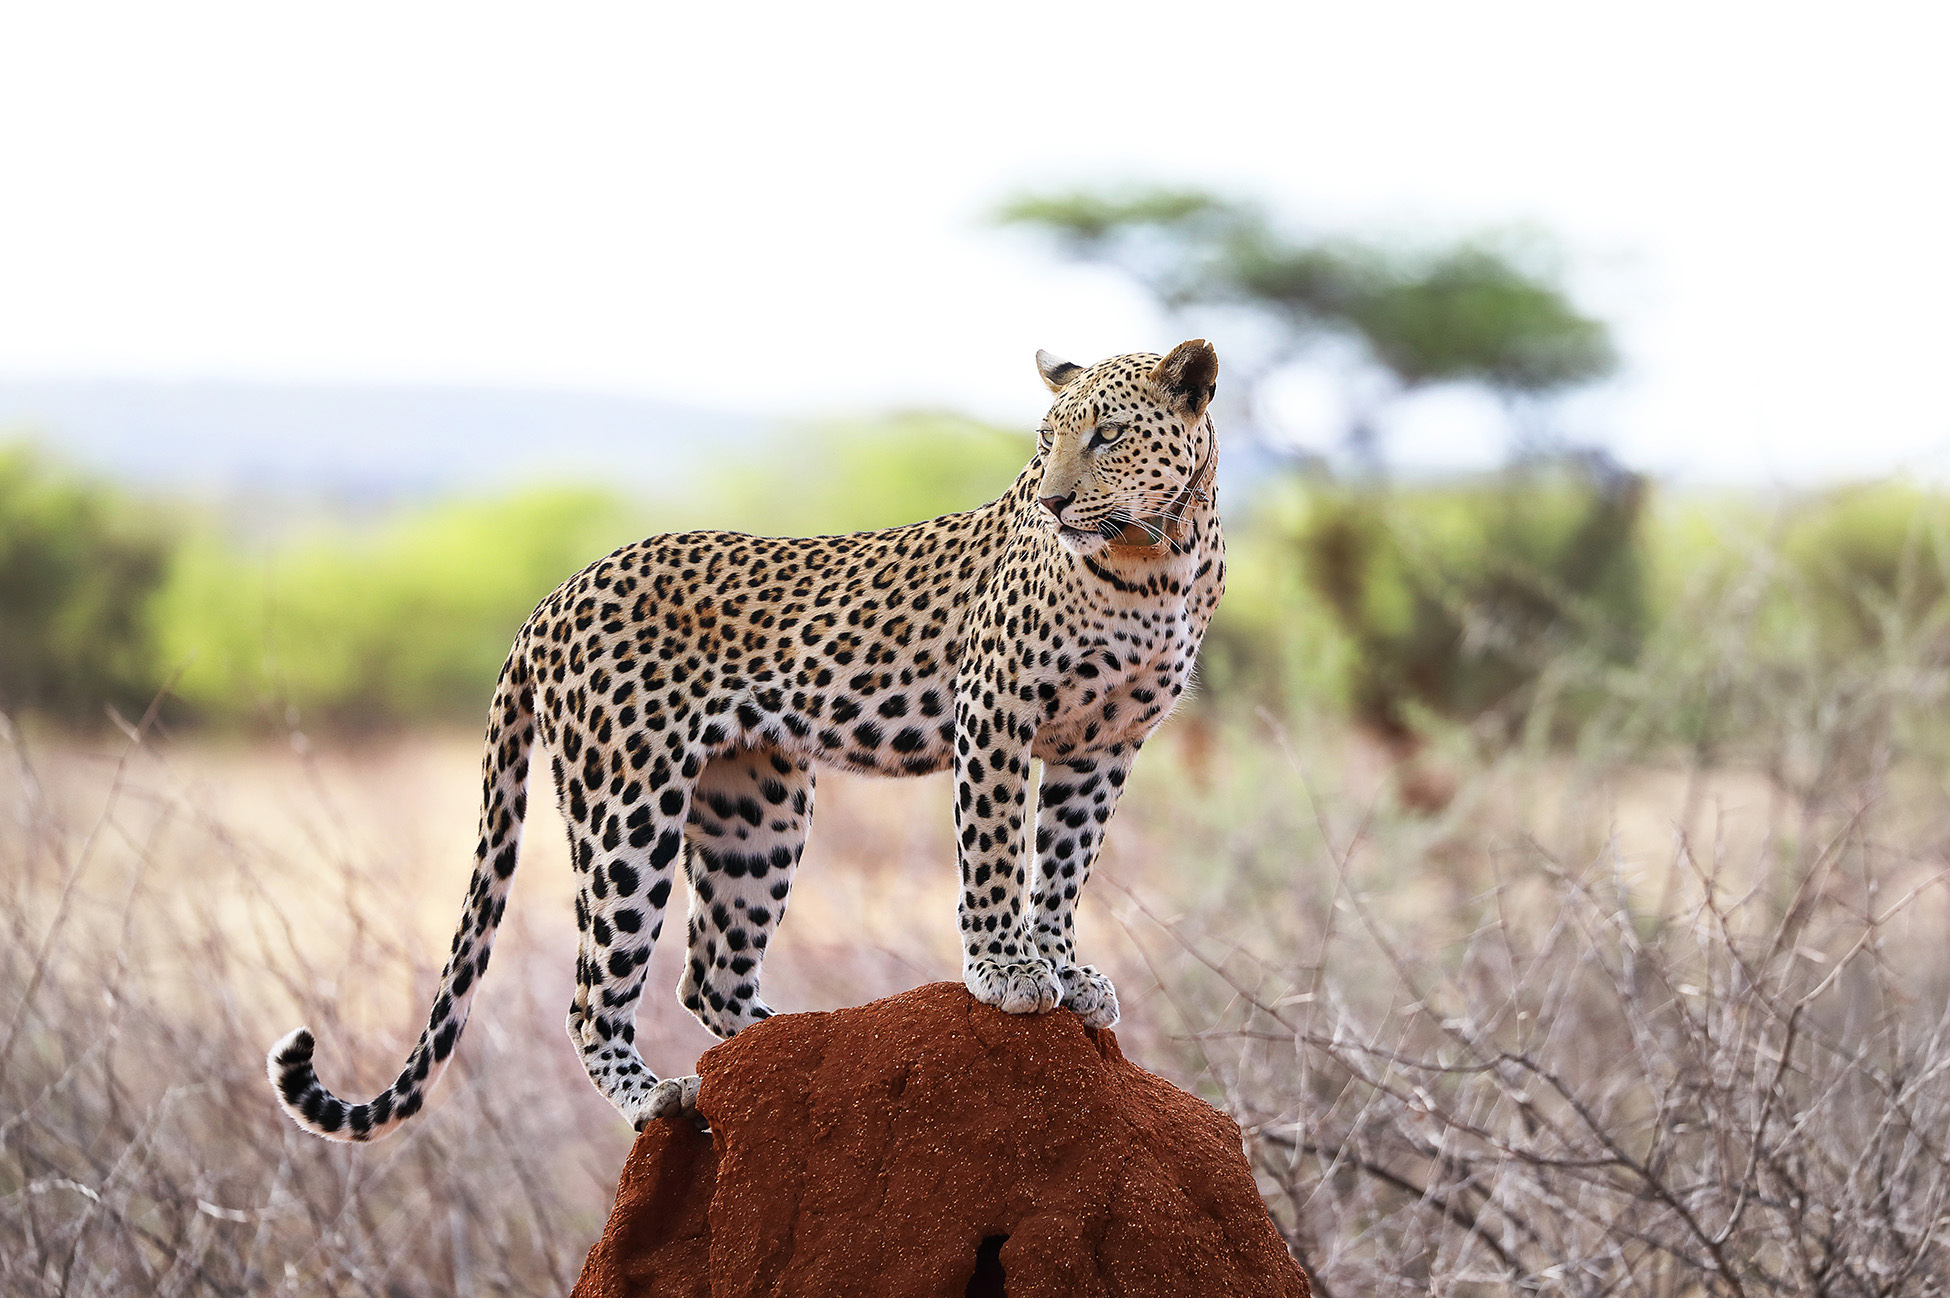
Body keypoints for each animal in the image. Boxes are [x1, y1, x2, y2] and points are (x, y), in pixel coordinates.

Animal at [267, 339, 1224, 1141]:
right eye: (1046, 440)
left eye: (1107, 435)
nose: (1055, 500)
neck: (1156, 558)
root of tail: (553, 596)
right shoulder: (995, 708)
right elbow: (993, 853)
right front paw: (1004, 971)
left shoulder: (1105, 744)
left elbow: (1065, 864)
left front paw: (1066, 970)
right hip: (627, 810)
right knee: (593, 994)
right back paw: (659, 1095)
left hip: (754, 811)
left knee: (711, 974)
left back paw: (809, 1056)